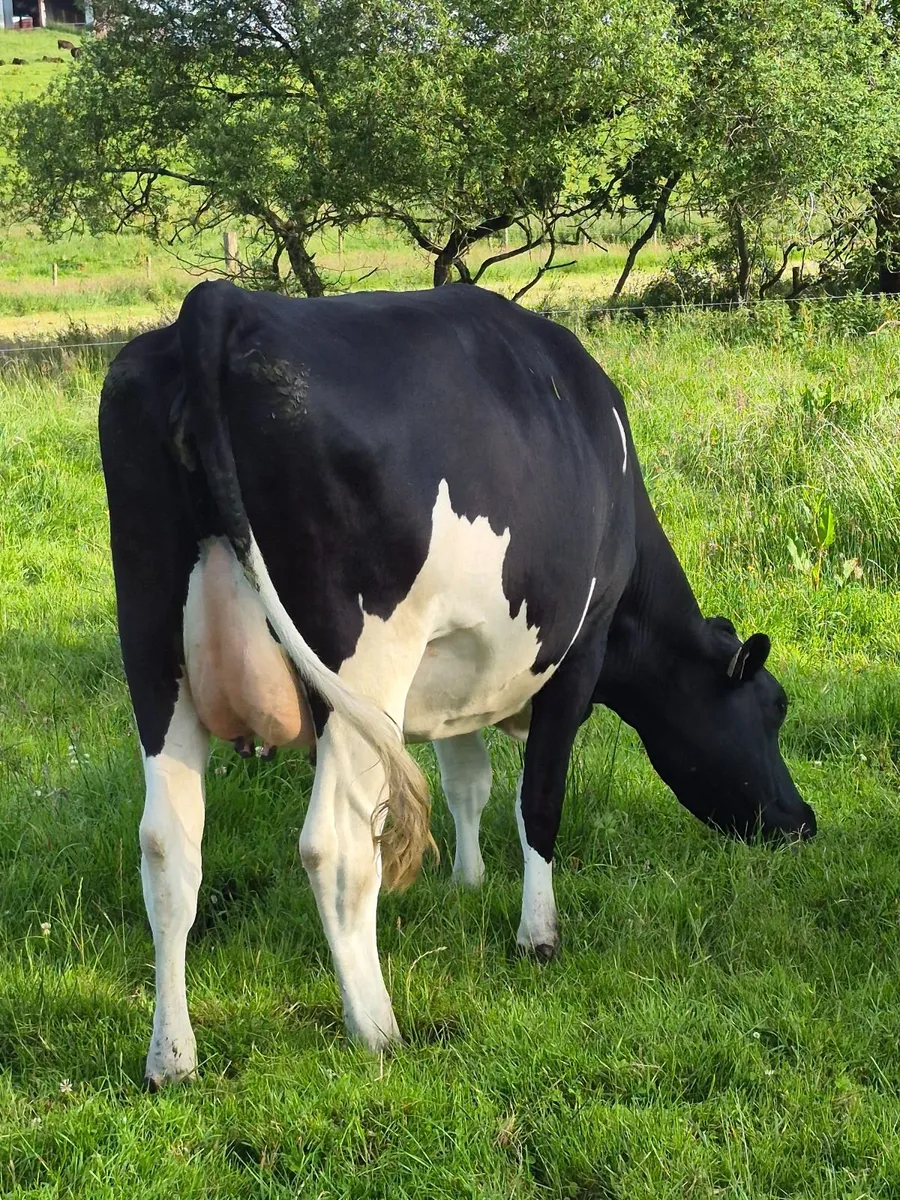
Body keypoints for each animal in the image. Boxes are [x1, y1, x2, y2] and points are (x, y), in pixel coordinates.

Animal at [99, 281, 815, 1087]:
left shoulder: (453, 668)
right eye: (772, 708)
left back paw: (172, 1057)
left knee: (168, 847)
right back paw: (377, 1027)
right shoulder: (579, 654)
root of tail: (222, 303)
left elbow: (466, 780)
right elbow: (539, 802)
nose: (802, 820)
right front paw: (537, 934)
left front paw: (466, 883)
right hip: (363, 666)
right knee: (335, 849)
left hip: (154, 652)